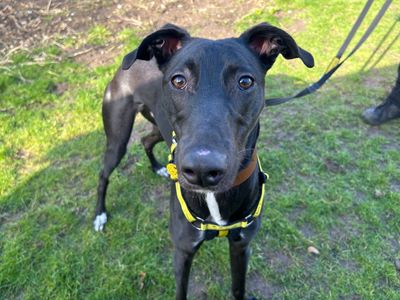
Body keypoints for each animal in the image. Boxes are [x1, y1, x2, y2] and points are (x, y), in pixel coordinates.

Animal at [94, 23, 312, 300]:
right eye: (178, 80)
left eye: (245, 81)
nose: (201, 171)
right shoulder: (183, 251)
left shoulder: (242, 245)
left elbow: (238, 287)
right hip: (118, 138)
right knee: (104, 174)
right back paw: (100, 215)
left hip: (160, 128)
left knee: (145, 140)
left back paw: (157, 168)